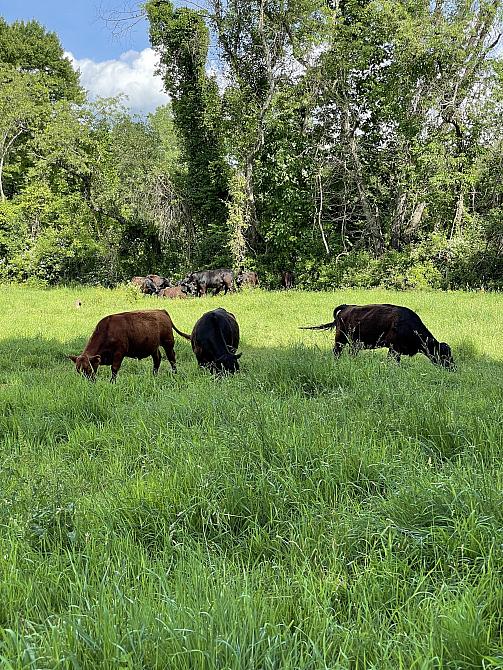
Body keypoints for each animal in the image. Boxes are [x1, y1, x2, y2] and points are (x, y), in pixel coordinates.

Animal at [304, 304, 456, 370]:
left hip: (354, 344)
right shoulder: (394, 349)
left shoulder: (395, 350)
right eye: (444, 354)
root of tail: (347, 307)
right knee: (337, 352)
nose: (453, 368)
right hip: (340, 340)